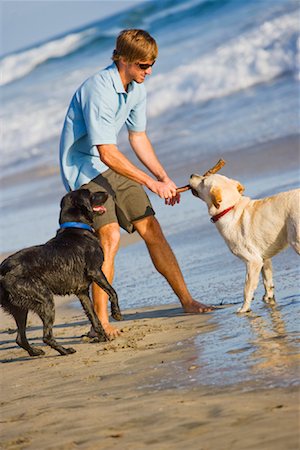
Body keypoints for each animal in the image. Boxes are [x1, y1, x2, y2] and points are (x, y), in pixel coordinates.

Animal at [0, 188, 122, 356]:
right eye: (90, 194)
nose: (106, 192)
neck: (77, 228)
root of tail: (3, 270)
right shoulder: (95, 271)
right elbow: (112, 291)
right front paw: (116, 313)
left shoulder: (82, 292)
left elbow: (93, 317)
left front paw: (102, 337)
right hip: (44, 299)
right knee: (46, 336)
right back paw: (65, 351)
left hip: (19, 308)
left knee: (20, 338)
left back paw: (36, 352)